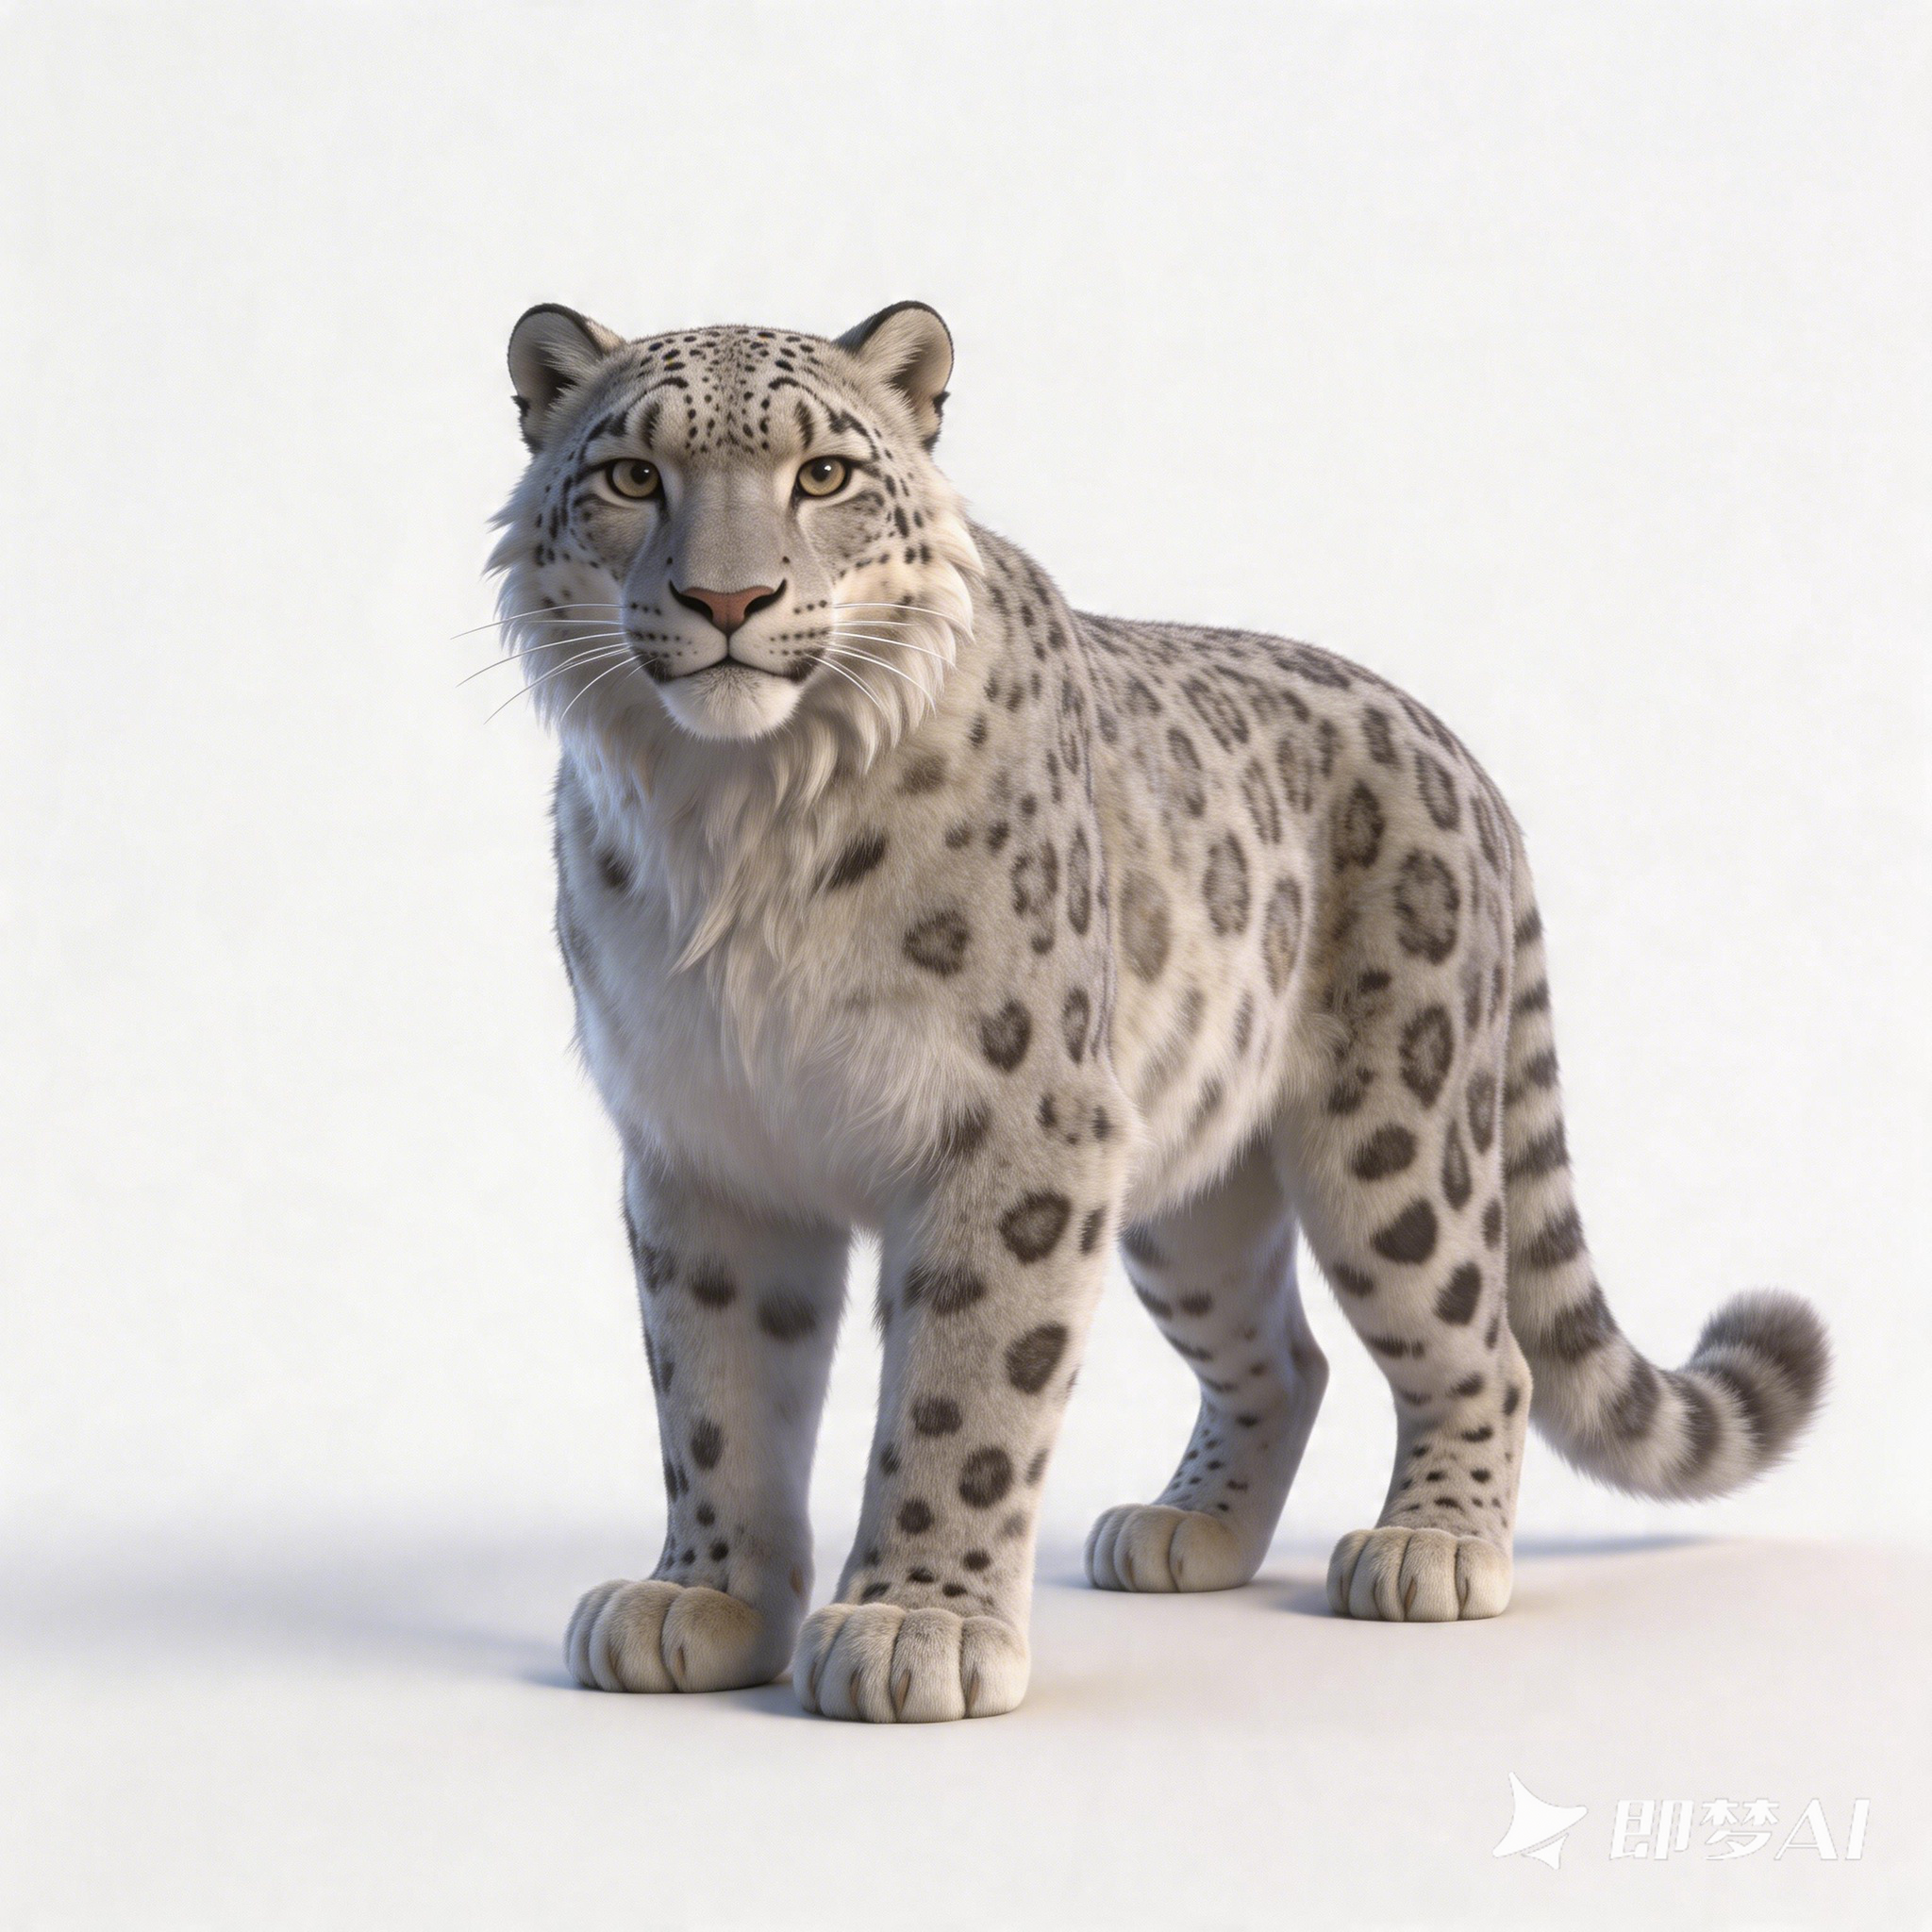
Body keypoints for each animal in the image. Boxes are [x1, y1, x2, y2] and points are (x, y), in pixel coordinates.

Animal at [488, 300, 1828, 1722]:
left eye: (824, 474)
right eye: (635, 474)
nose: (728, 599)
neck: (732, 814)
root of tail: (1456, 754)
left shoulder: (1015, 1122)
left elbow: (964, 1392)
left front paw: (916, 1623)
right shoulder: (706, 1145)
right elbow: (716, 1396)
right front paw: (702, 1597)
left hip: (1399, 1146)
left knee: (1479, 1341)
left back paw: (1430, 1544)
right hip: (1190, 1206)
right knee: (1286, 1356)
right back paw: (1189, 1529)